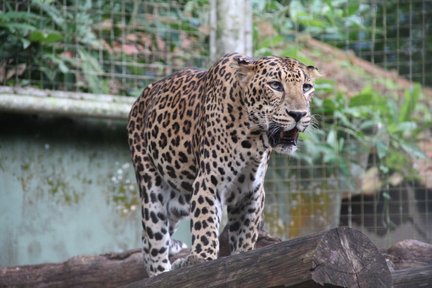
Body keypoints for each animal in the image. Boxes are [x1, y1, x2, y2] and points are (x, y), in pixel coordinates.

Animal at [126, 52, 318, 276]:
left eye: (306, 87)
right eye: (276, 85)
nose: (299, 114)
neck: (253, 138)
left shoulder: (251, 192)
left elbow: (246, 233)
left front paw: (242, 255)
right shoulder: (209, 181)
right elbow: (205, 224)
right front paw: (202, 258)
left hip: (176, 200)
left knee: (148, 241)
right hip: (152, 189)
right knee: (155, 240)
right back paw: (162, 271)